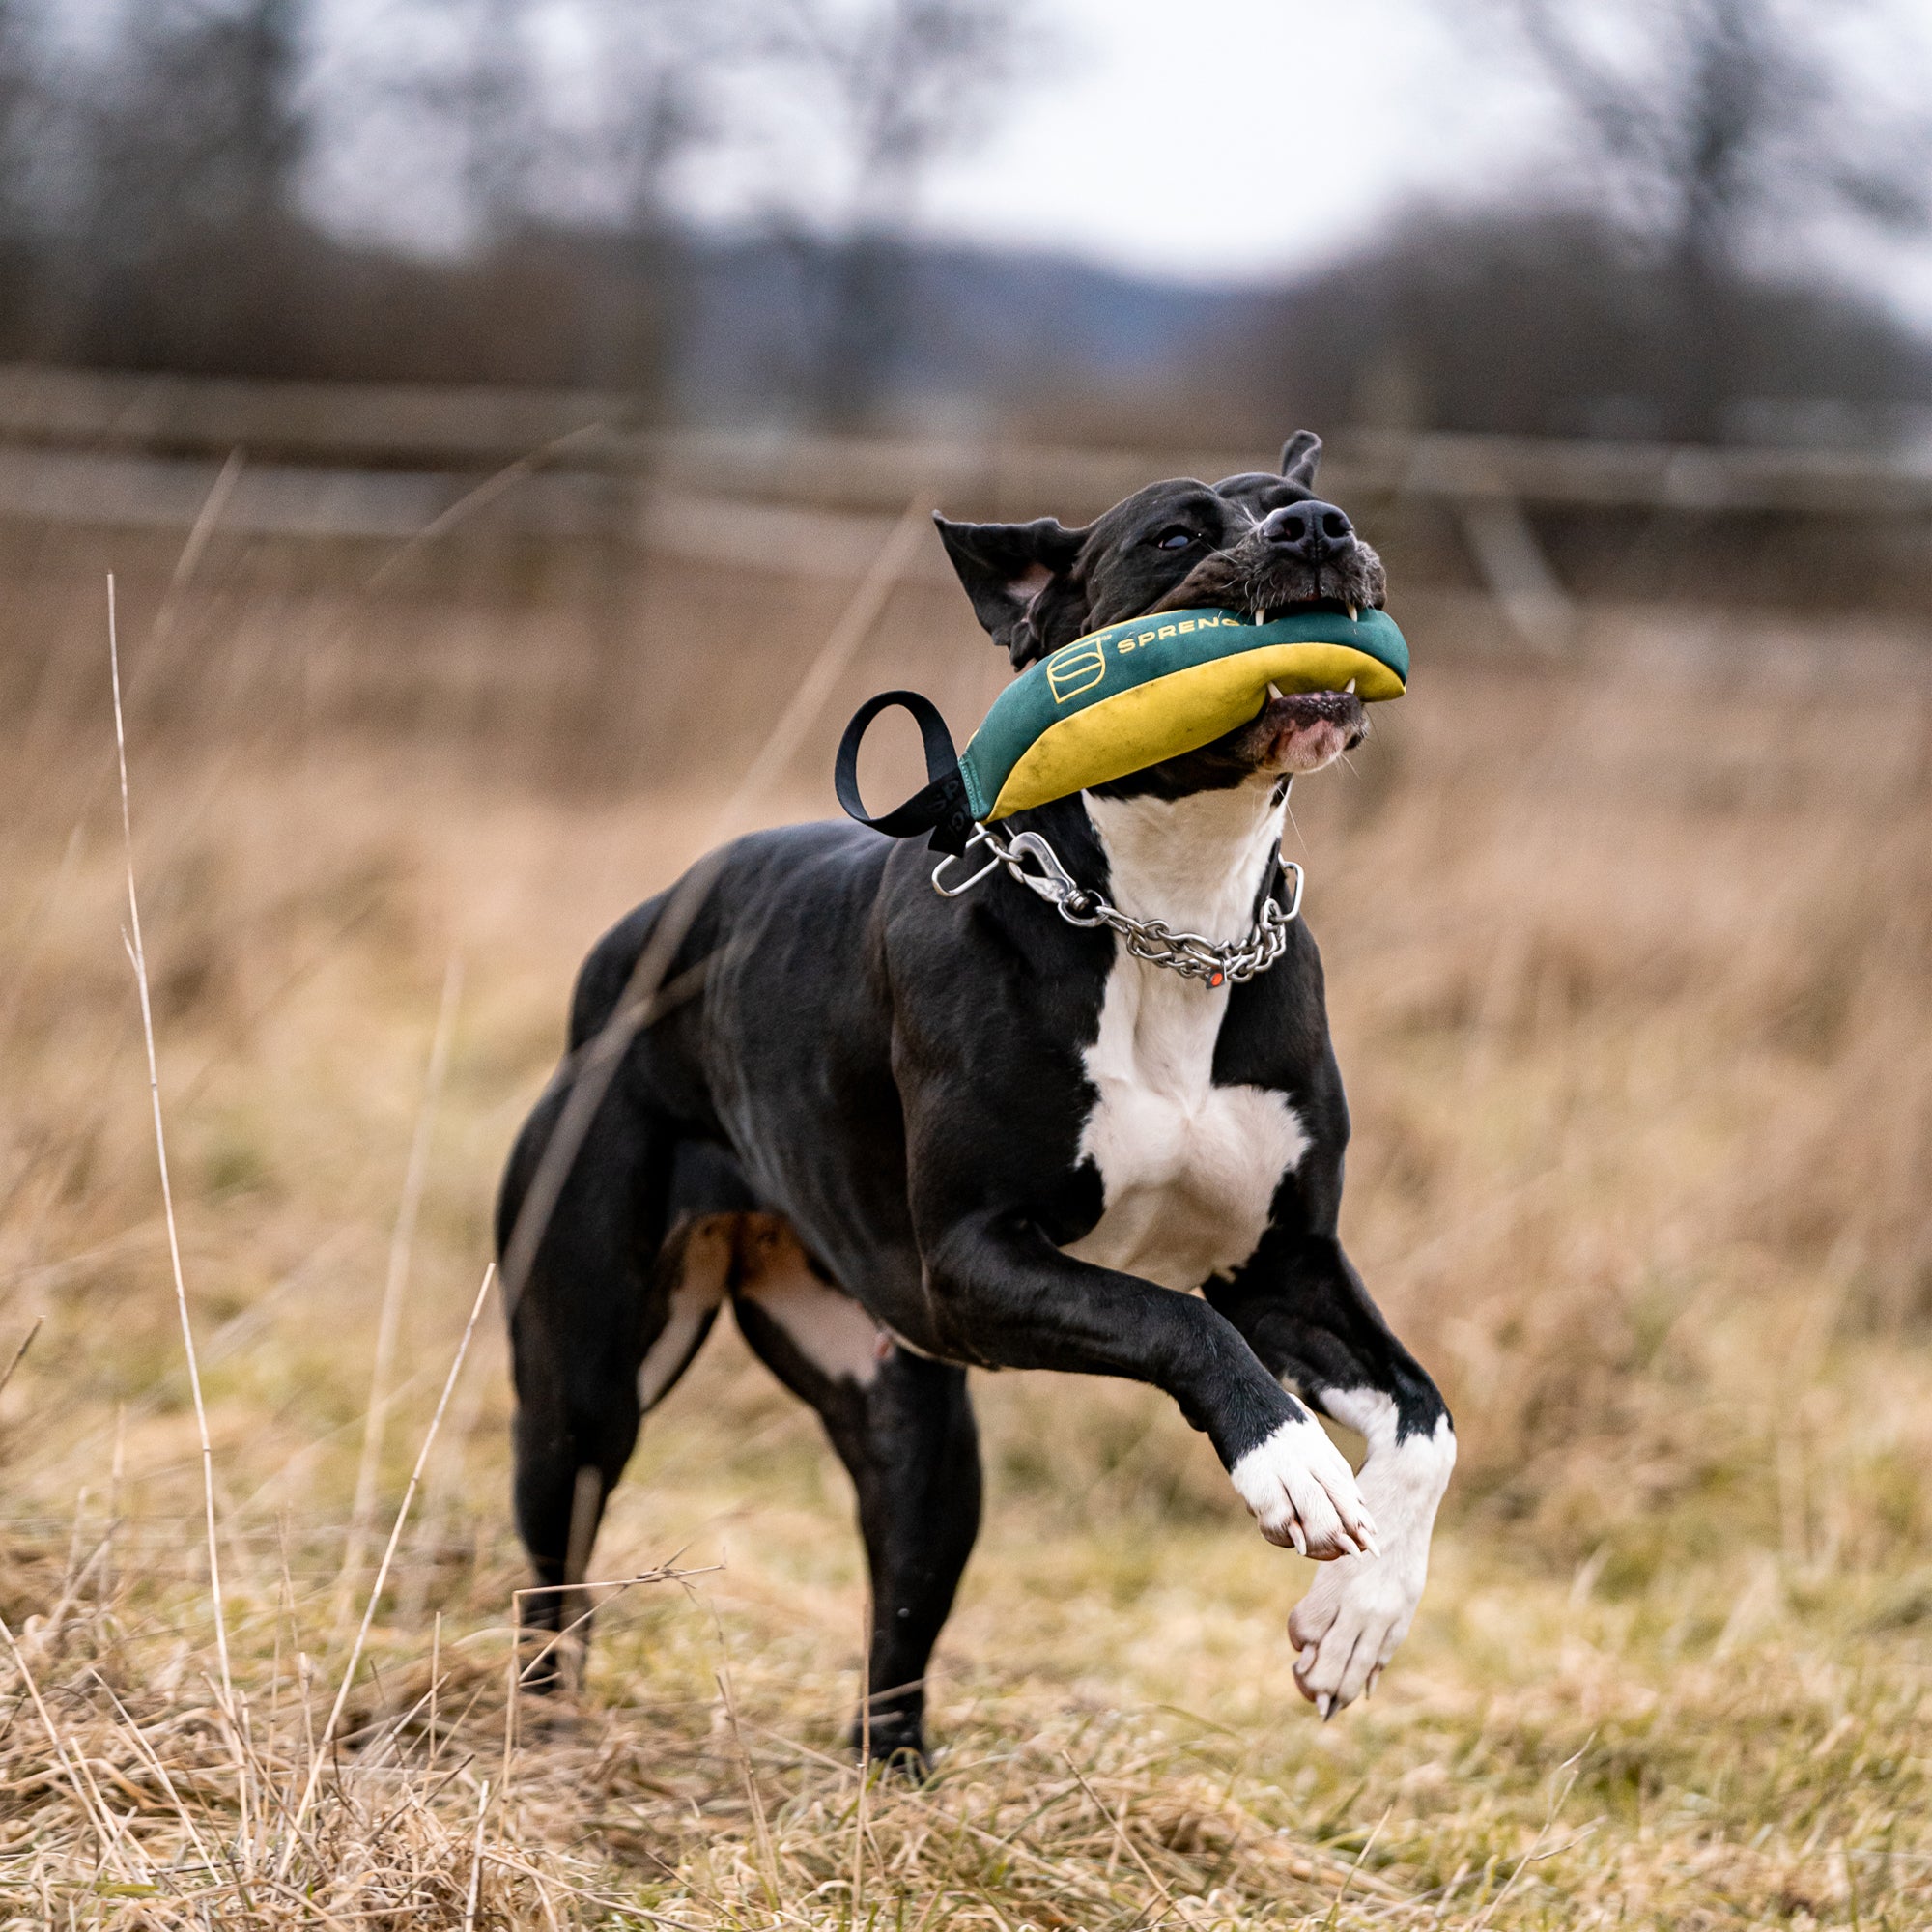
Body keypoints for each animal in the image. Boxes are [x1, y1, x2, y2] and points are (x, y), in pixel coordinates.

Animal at [498, 435, 1453, 1770]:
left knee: (898, 1611)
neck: (1168, 918)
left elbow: (1424, 1415)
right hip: (581, 1381)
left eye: (1317, 506)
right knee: (558, 1564)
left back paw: (894, 1775)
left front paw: (1355, 1617)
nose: (1315, 530)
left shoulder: (1284, 1265)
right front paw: (1292, 1466)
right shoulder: (976, 1263)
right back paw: (546, 1735)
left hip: (919, 1435)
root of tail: (635, 938)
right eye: (1173, 535)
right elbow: (1175, 1321)